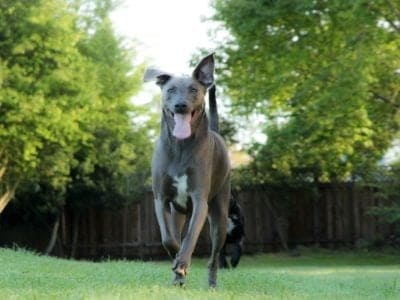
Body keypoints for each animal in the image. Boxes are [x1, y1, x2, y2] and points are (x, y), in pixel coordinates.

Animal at [144, 54, 231, 288]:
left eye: (193, 89)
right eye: (171, 89)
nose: (180, 105)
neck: (181, 146)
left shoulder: (200, 200)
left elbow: (190, 237)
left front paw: (182, 263)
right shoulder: (161, 199)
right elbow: (169, 238)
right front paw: (177, 262)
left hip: (220, 215)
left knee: (214, 256)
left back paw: (211, 283)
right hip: (178, 212)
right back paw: (178, 278)